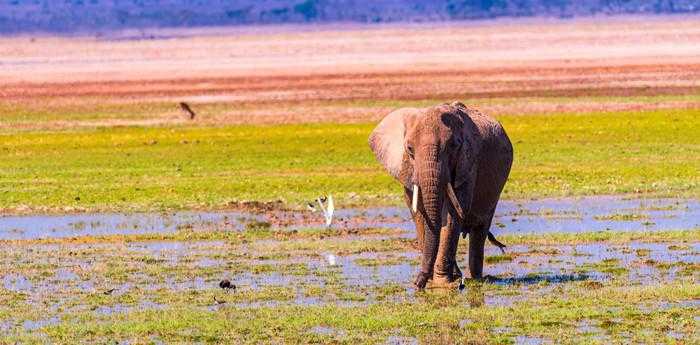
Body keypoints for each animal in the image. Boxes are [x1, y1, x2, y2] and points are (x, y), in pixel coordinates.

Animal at [366, 100, 516, 288]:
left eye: (453, 146)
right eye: (409, 149)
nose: (417, 284)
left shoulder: (468, 165)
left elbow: (452, 215)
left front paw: (443, 283)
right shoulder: (407, 170)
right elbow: (419, 214)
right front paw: (435, 280)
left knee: (480, 230)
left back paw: (477, 278)